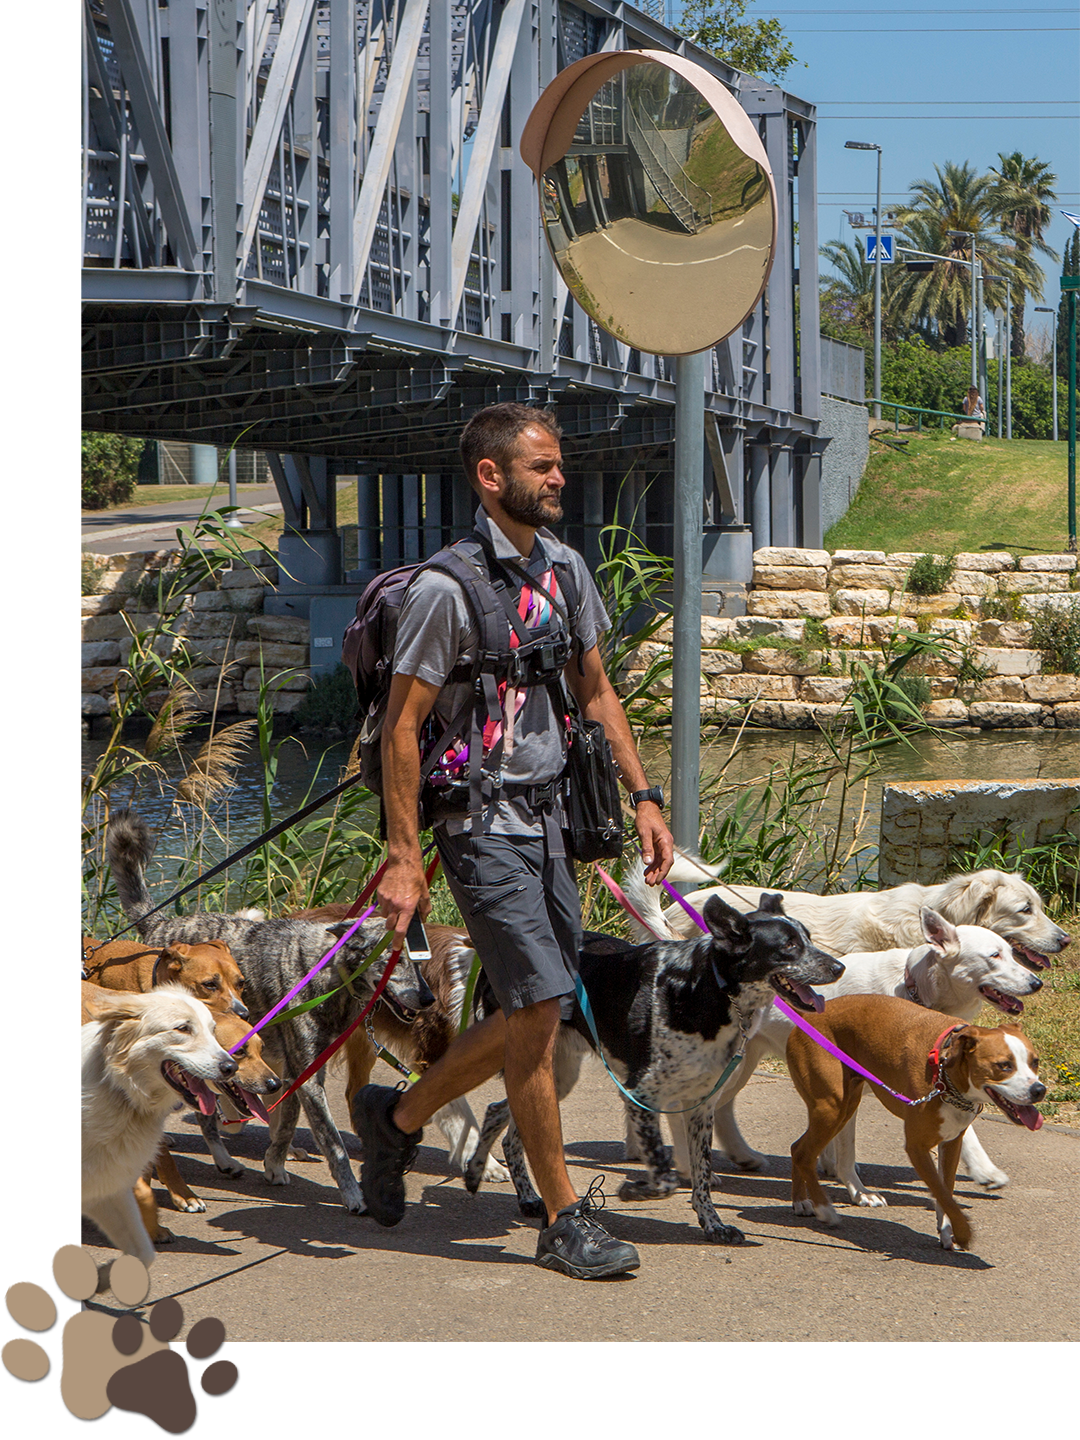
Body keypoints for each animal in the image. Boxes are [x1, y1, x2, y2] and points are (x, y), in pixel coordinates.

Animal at [82, 984, 239, 1278]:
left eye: (213, 1030)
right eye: (183, 1028)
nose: (230, 1067)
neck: (120, 1090)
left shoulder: (110, 1180)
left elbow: (142, 1250)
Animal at [466, 892, 846, 1244]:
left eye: (808, 937)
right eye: (789, 945)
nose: (839, 968)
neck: (704, 988)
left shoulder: (701, 1104)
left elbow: (702, 1175)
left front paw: (713, 1225)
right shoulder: (641, 1095)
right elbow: (665, 1175)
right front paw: (637, 1190)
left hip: (557, 1075)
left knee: (503, 1118)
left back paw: (514, 1190)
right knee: (500, 1113)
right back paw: (490, 1177)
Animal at [789, 996, 1048, 1255]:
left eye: (1035, 1062)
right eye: (1004, 1065)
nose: (1039, 1090)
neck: (945, 1074)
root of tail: (806, 1017)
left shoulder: (952, 1142)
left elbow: (946, 1190)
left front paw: (946, 1231)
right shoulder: (917, 1147)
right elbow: (942, 1192)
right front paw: (963, 1232)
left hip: (845, 1105)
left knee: (797, 1147)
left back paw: (801, 1201)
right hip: (832, 1107)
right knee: (804, 1153)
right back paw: (824, 1209)